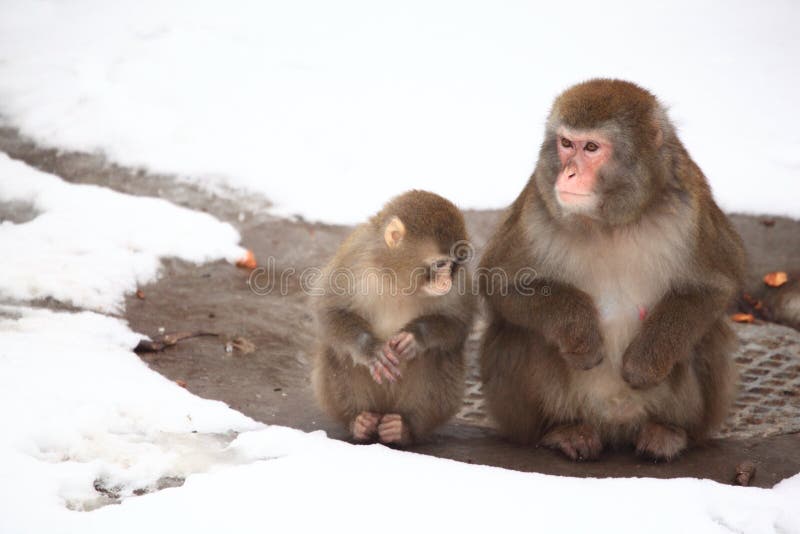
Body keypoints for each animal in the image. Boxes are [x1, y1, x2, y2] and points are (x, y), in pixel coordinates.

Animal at [312, 191, 476, 446]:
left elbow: (460, 322)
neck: (397, 276)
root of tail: (384, 410)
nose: (446, 282)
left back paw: (403, 429)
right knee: (336, 351)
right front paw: (370, 348)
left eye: (453, 266)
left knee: (438, 353)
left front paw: (415, 337)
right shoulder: (353, 257)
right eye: (440, 264)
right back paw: (359, 422)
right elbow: (327, 310)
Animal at [476, 78, 744, 460]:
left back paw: (669, 431)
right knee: (517, 331)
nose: (568, 173)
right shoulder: (537, 209)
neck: (611, 222)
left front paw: (644, 363)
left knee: (706, 335)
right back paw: (563, 430)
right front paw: (581, 334)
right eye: (566, 143)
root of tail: (615, 427)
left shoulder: (690, 206)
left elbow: (716, 285)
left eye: (591, 147)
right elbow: (501, 284)